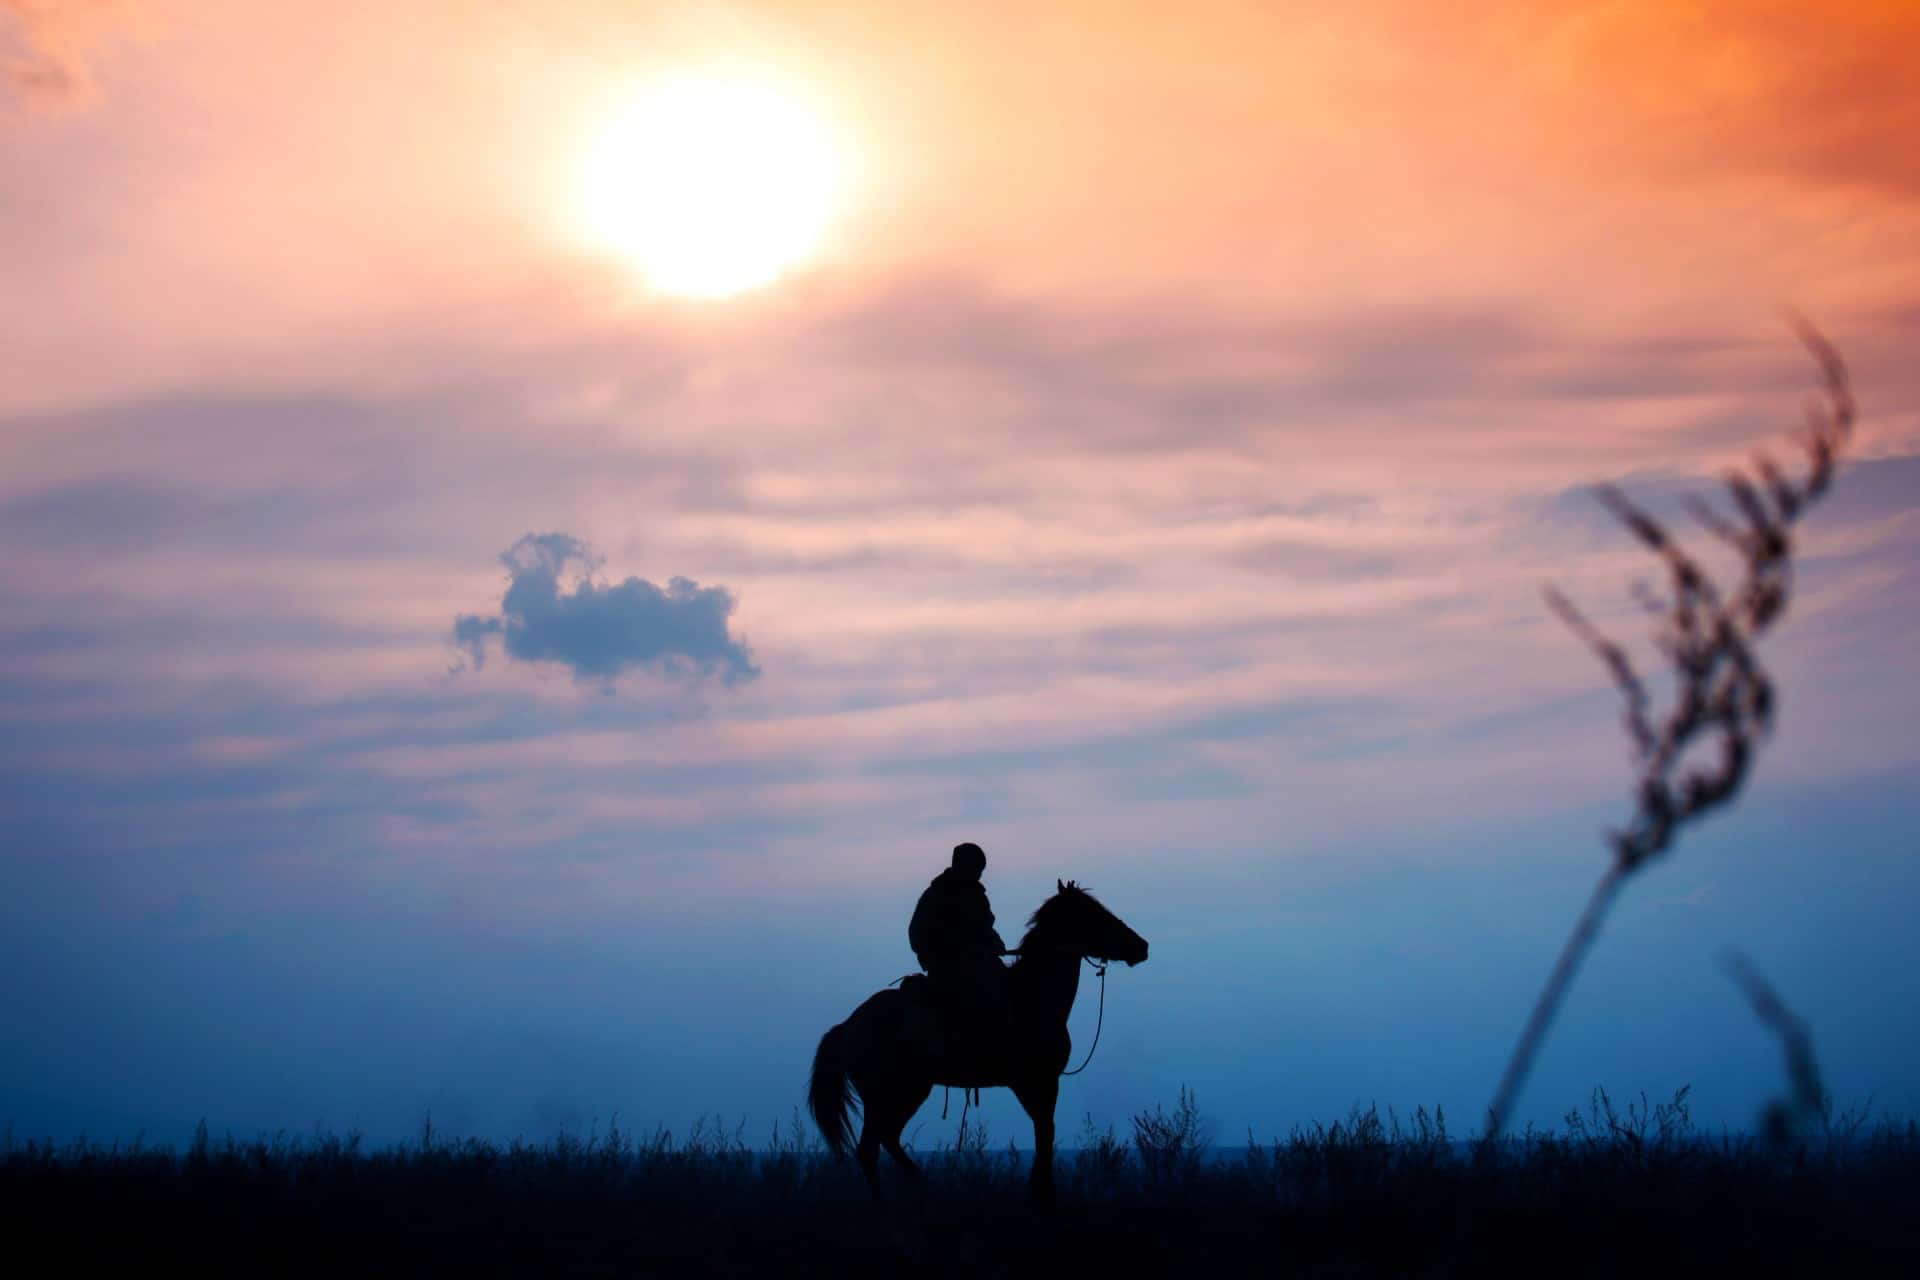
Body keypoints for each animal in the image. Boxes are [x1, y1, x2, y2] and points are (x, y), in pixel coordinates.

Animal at [806, 882, 1144, 1205]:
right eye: (1092, 913)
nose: (1141, 946)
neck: (1031, 997)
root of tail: (848, 1025)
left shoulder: (1040, 1083)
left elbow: (1044, 1133)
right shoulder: (1034, 1081)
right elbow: (1045, 1133)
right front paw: (1040, 1193)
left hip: (907, 1092)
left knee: (887, 1139)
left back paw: (924, 1185)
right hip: (886, 1094)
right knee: (869, 1148)